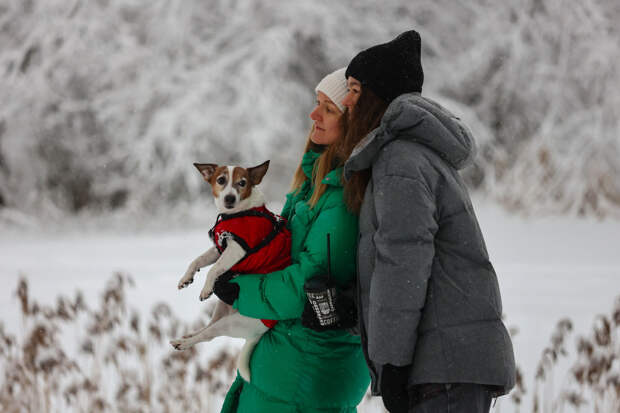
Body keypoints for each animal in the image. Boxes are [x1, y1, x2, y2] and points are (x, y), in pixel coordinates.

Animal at [168, 159, 292, 382]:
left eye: (242, 183)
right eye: (221, 180)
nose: (229, 197)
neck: (239, 213)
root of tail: (257, 334)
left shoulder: (236, 249)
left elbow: (214, 269)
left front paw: (206, 288)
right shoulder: (219, 248)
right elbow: (197, 261)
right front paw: (186, 278)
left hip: (231, 324)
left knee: (208, 336)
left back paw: (184, 343)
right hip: (221, 309)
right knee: (207, 327)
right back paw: (187, 336)